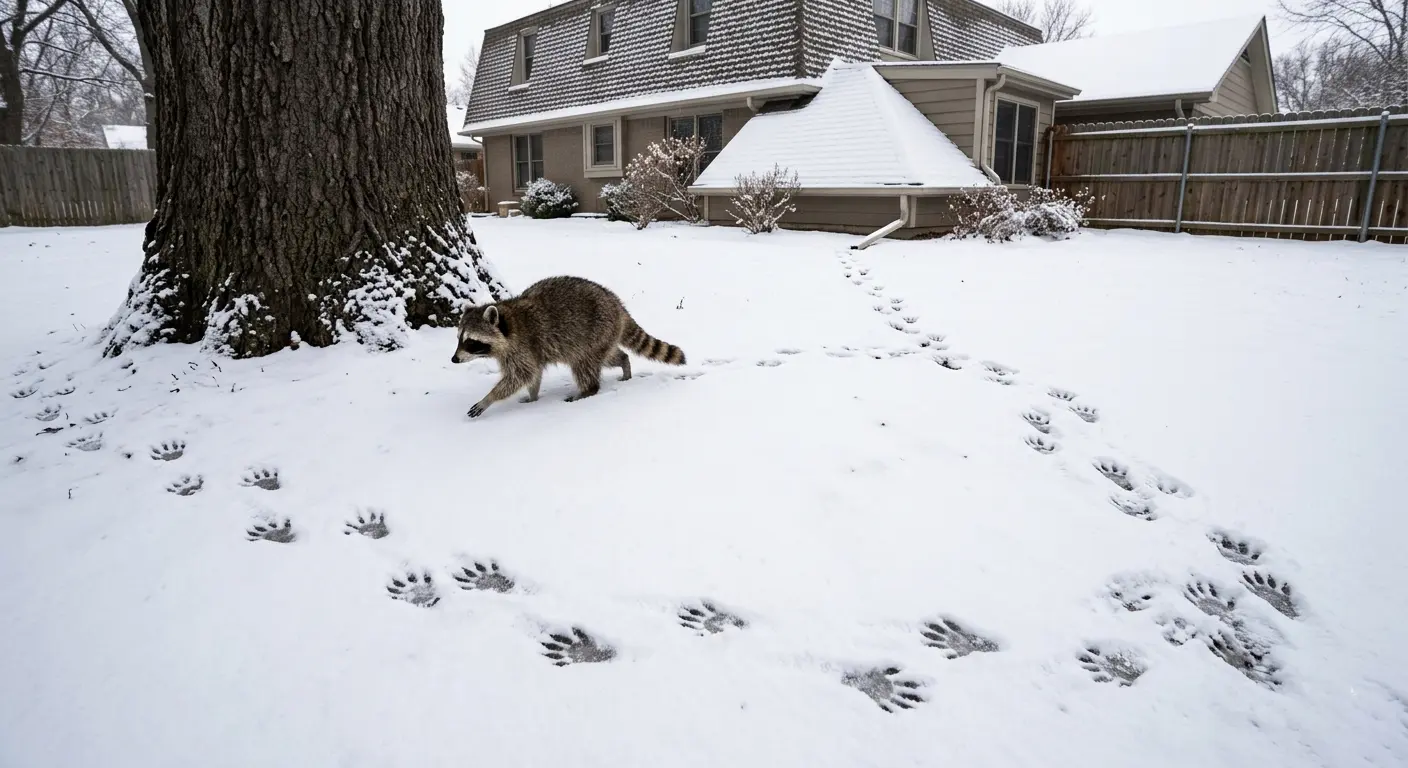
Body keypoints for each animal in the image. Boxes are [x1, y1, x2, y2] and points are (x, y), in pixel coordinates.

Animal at [452, 275, 686, 418]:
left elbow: (521, 375)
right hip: (604, 337)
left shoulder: (523, 345)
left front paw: (489, 398)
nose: (454, 359)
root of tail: (617, 305)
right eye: (459, 338)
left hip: (594, 332)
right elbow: (533, 374)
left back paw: (587, 390)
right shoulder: (523, 351)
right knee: (609, 356)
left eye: (471, 341)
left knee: (584, 364)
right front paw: (533, 396)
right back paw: (624, 362)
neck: (507, 321)